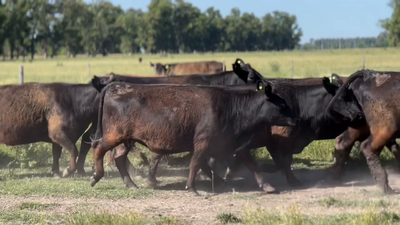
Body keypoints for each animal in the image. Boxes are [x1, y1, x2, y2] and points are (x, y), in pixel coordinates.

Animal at [89, 79, 298, 195]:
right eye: (281, 104)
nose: (296, 118)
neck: (229, 107)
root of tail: (115, 86)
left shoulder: (233, 145)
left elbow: (250, 164)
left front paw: (267, 186)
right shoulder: (202, 142)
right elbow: (196, 163)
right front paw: (192, 187)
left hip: (126, 140)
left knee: (118, 157)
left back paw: (130, 184)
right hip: (115, 135)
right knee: (98, 147)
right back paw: (96, 176)